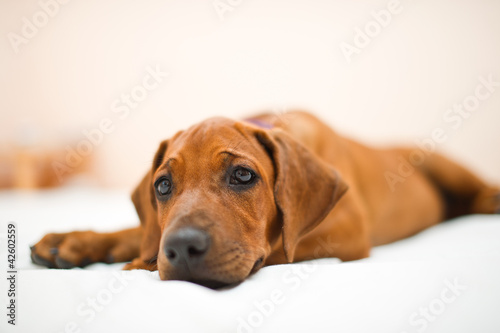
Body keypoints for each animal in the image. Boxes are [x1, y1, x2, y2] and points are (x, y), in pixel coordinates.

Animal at [32, 110, 500, 286]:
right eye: (162, 186)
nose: (180, 249)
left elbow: (279, 244)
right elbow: (139, 229)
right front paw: (75, 241)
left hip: (444, 164)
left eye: (243, 175)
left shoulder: (346, 231)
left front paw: (139, 261)